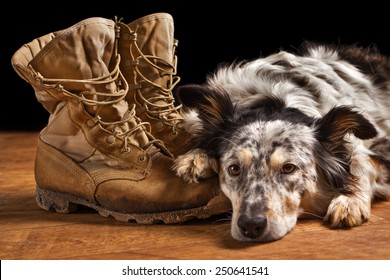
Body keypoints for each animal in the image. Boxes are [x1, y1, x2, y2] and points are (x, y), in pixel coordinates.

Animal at [172, 42, 390, 243]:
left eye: (288, 168)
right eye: (234, 169)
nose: (251, 226)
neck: (276, 100)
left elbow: (362, 163)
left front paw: (350, 200)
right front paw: (195, 158)